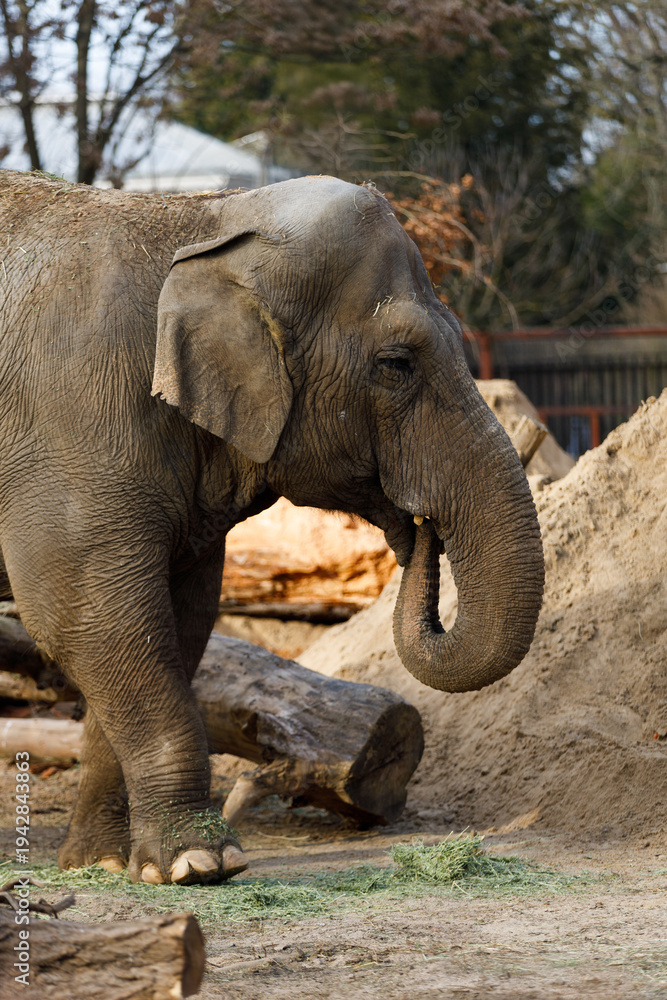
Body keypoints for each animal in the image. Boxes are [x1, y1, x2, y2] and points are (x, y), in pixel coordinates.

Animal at [0, 170, 544, 885]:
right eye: (397, 363)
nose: (419, 528)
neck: (202, 220)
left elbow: (177, 618)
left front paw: (108, 866)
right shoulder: (69, 426)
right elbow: (85, 616)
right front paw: (202, 863)